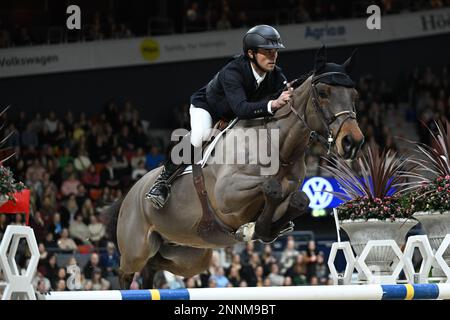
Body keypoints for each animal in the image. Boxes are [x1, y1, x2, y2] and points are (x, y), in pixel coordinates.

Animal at [106, 46, 366, 288]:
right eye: (323, 93)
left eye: (354, 94)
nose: (352, 142)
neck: (278, 146)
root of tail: (130, 192)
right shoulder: (227, 195)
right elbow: (271, 187)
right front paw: (250, 229)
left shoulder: (287, 194)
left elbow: (298, 199)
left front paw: (256, 229)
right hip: (137, 248)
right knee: (125, 271)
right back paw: (157, 192)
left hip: (189, 255)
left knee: (153, 265)